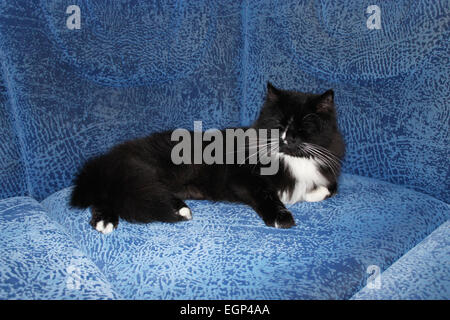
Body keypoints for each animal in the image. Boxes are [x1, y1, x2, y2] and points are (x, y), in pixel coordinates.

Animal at [70, 81, 344, 234]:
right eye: (279, 125)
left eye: (303, 128)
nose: (287, 139)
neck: (291, 159)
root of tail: (111, 156)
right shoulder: (244, 177)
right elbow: (268, 195)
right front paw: (281, 217)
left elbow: (328, 188)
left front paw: (307, 194)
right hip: (143, 174)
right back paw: (108, 221)